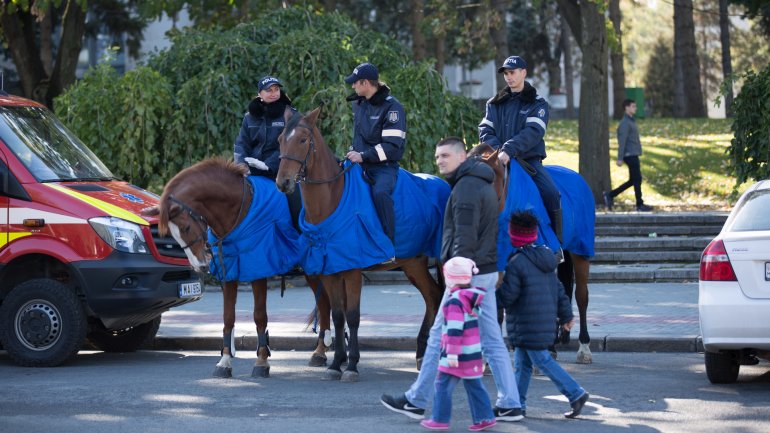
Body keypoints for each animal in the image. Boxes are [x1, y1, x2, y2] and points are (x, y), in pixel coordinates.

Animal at [141, 157, 330, 376]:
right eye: (173, 235)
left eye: (186, 227)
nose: (199, 266)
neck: (240, 207)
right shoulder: (229, 271)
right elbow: (228, 317)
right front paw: (224, 361)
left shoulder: (257, 268)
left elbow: (259, 316)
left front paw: (262, 360)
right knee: (325, 303)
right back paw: (320, 352)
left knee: (326, 303)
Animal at [274, 108, 444, 382]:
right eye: (280, 139)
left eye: (302, 140)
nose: (283, 182)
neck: (333, 199)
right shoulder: (331, 271)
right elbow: (337, 315)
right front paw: (336, 363)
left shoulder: (352, 272)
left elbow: (352, 317)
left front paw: (352, 364)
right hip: (414, 264)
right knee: (433, 296)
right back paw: (421, 354)